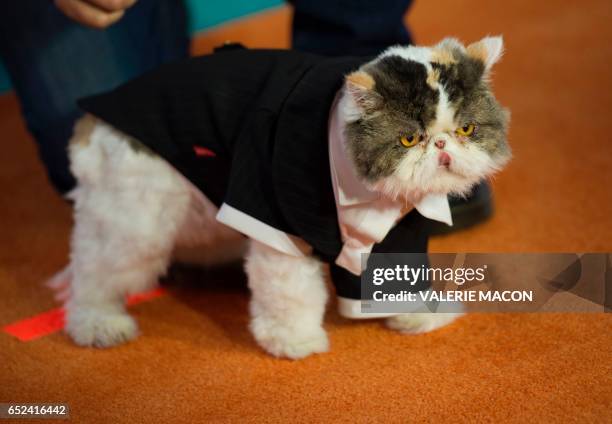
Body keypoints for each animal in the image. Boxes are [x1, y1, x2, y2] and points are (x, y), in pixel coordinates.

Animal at [53, 38, 512, 360]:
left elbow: (398, 277)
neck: (369, 191)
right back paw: (98, 324)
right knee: (92, 272)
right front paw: (293, 341)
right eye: (409, 139)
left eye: (467, 129)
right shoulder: (274, 225)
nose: (442, 145)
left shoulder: (400, 233)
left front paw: (414, 315)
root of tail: (93, 115)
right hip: (137, 224)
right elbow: (290, 294)